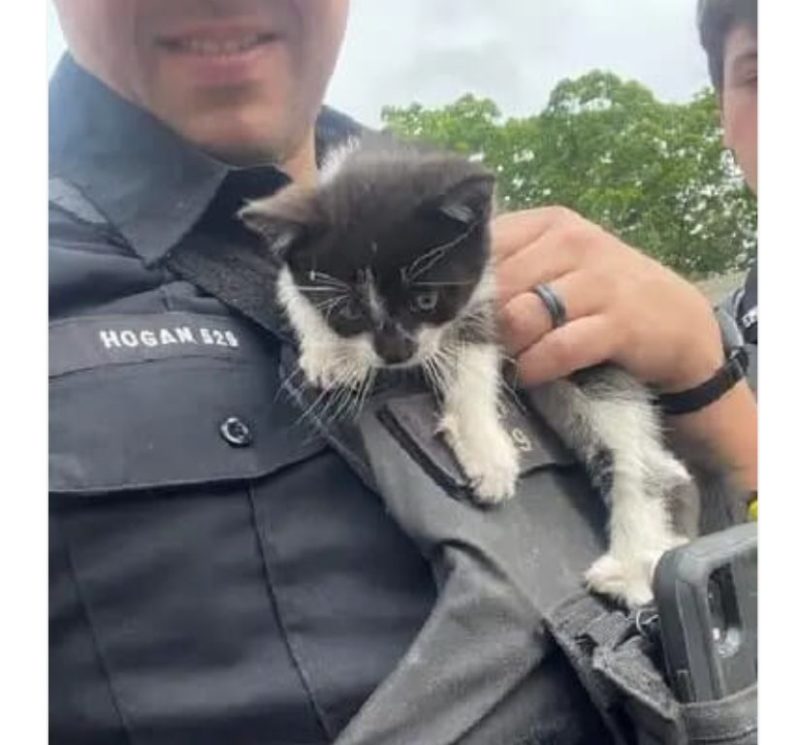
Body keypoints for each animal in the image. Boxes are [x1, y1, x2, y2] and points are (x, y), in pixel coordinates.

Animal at [241, 140, 696, 604]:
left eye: (425, 300)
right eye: (350, 311)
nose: (396, 352)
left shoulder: (488, 289)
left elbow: (474, 359)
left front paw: (486, 452)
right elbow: (291, 291)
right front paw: (328, 351)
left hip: (591, 368)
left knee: (639, 460)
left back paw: (631, 564)